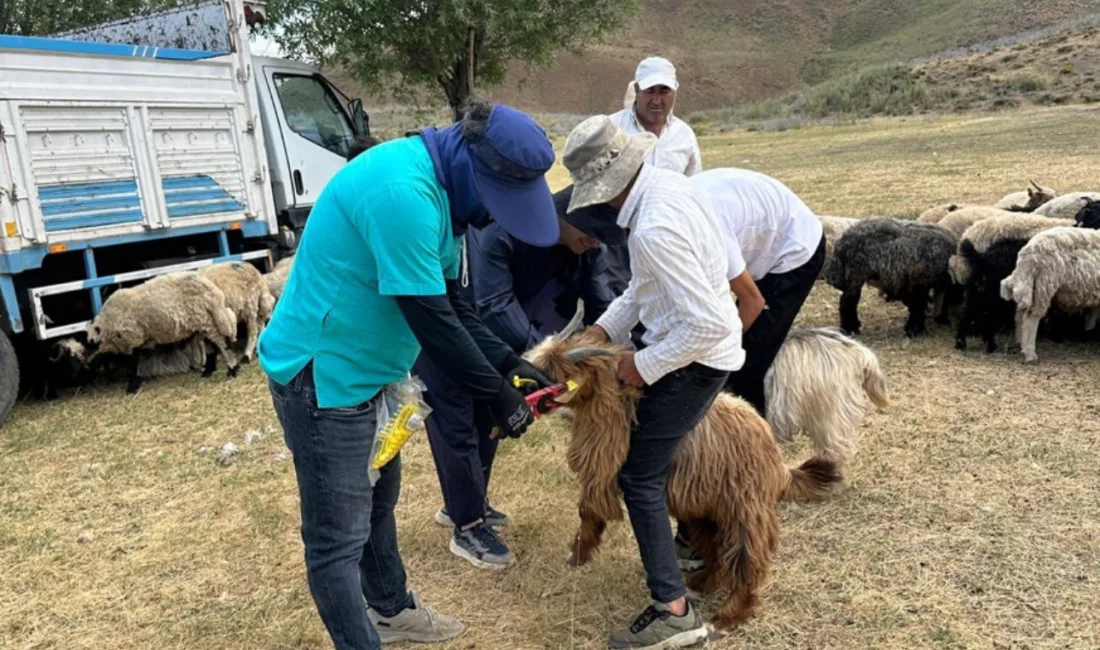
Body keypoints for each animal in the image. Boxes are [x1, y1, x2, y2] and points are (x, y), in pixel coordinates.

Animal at [523, 329, 840, 629]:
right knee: (716, 549)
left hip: (745, 508)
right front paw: (577, 556)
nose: (522, 380)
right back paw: (701, 583)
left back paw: (728, 616)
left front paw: (577, 556)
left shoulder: (602, 471)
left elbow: (588, 512)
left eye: (551, 374)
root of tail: (776, 459)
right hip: (706, 510)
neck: (619, 402)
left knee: (748, 558)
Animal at [1003, 227, 1100, 360]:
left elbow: (1091, 316)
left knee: (1020, 313)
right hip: (1044, 286)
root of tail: (1028, 253)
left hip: (1031, 286)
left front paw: (1088, 331)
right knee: (1031, 317)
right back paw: (1030, 353)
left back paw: (1020, 343)